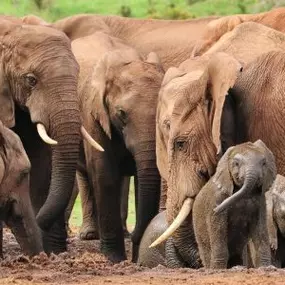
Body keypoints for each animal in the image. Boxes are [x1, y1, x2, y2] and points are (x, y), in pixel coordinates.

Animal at [71, 32, 164, 260]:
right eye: (121, 113)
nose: (137, 235)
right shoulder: (92, 113)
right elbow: (104, 174)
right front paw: (114, 259)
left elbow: (142, 179)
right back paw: (89, 235)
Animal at [192, 140, 276, 268]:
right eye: (236, 163)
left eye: (264, 163)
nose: (216, 209)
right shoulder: (218, 198)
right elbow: (219, 229)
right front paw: (218, 269)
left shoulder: (261, 201)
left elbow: (260, 229)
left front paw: (265, 267)